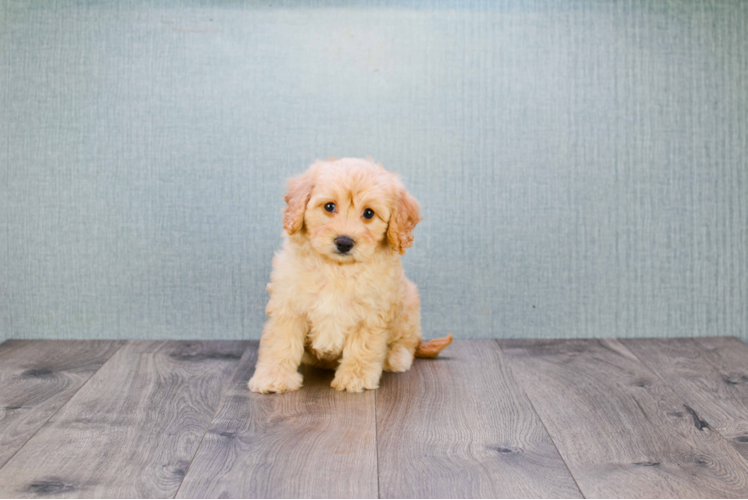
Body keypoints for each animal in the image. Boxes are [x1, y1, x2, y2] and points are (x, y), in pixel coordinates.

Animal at [248, 158, 452, 392]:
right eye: (329, 206)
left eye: (369, 213)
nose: (344, 242)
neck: (337, 268)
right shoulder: (288, 305)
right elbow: (280, 342)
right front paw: (273, 377)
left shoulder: (372, 312)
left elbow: (362, 346)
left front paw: (355, 378)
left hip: (409, 303)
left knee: (409, 342)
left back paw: (396, 356)